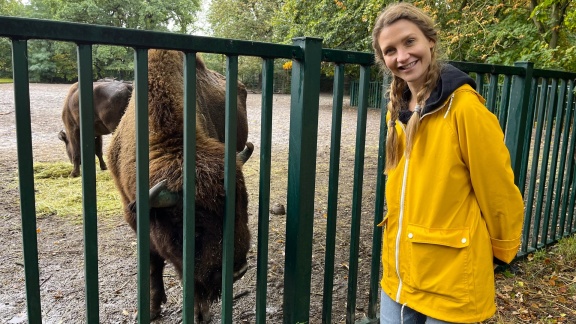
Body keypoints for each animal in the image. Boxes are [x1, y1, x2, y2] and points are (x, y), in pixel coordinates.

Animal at [108, 49, 252, 322]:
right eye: (193, 228)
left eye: (244, 209)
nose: (237, 271)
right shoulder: (133, 213)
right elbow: (154, 263)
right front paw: (153, 308)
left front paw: (198, 312)